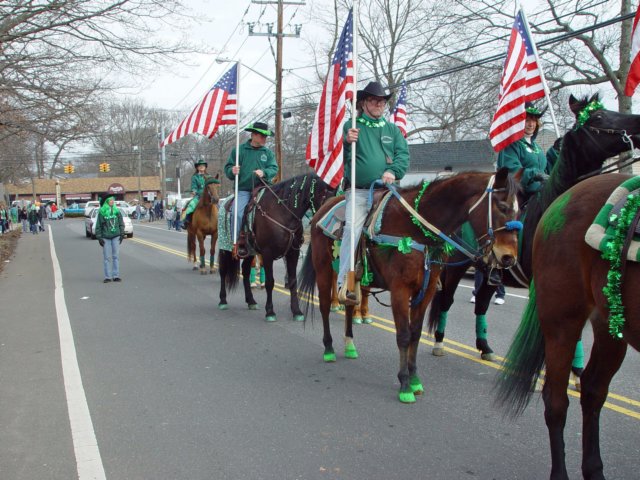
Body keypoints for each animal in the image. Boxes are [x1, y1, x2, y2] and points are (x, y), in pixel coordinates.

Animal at [218, 174, 336, 320]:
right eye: (324, 193)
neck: (283, 213)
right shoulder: (267, 253)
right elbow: (270, 282)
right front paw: (270, 311)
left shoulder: (293, 253)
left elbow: (292, 281)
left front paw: (296, 311)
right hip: (225, 248)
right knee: (223, 271)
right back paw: (223, 300)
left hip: (250, 251)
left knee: (245, 271)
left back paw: (251, 301)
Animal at [298, 168, 520, 402]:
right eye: (502, 206)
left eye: (519, 209)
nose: (509, 258)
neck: (416, 229)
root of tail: (322, 210)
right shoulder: (400, 291)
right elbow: (404, 335)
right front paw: (404, 384)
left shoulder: (426, 290)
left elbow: (415, 333)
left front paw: (414, 379)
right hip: (324, 269)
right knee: (324, 306)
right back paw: (329, 348)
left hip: (353, 281)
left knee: (349, 305)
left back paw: (349, 346)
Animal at [424, 94, 640, 360]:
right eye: (598, 116)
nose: (638, 123)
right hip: (456, 266)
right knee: (446, 301)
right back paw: (439, 342)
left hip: (490, 272)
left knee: (481, 305)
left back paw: (485, 346)